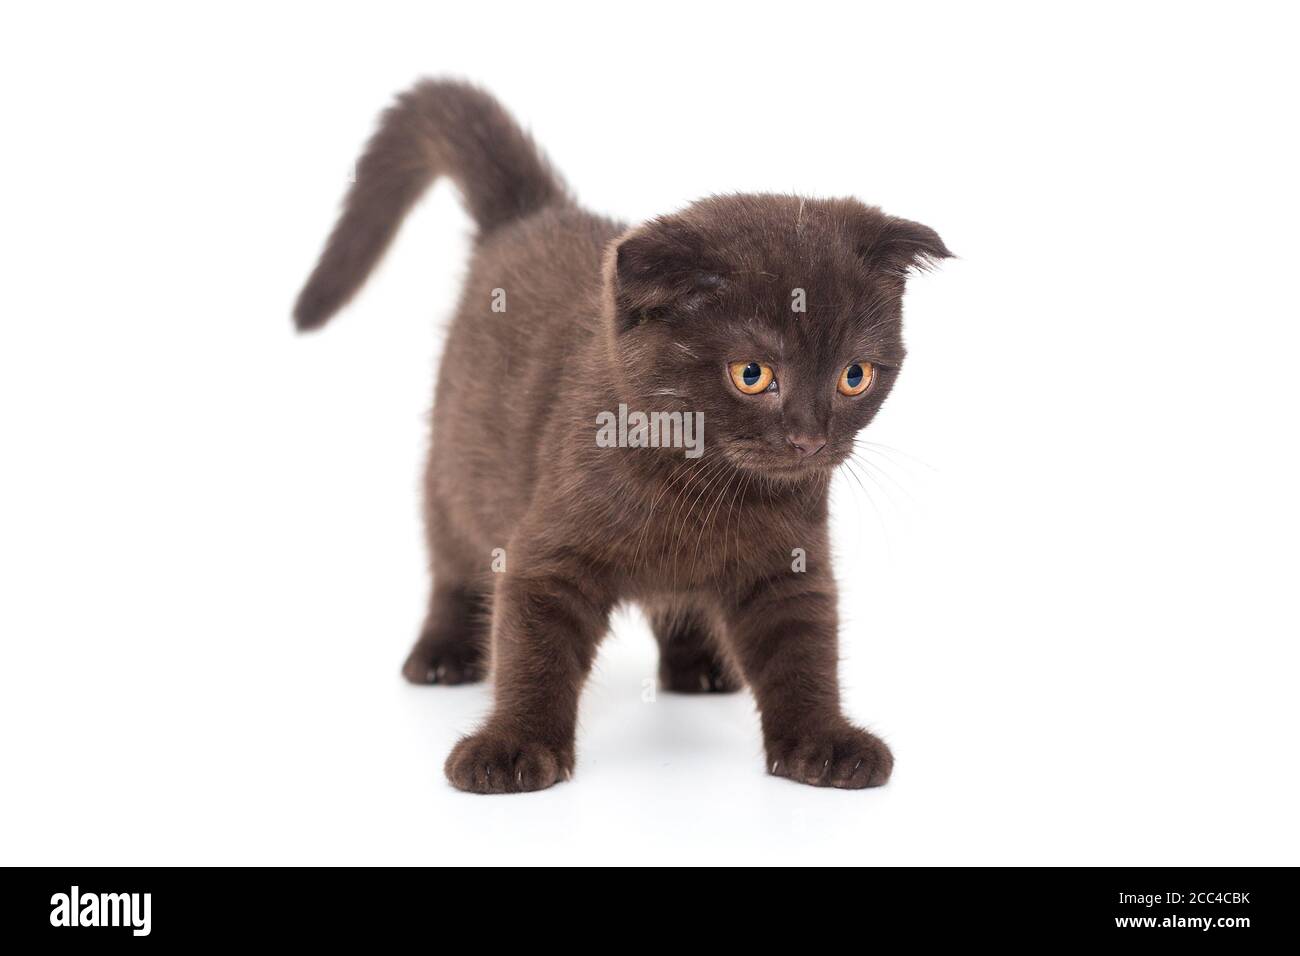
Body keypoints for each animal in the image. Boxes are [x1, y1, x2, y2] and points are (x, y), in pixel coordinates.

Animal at [295, 78, 951, 790]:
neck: (700, 483)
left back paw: (699, 666)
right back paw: (442, 652)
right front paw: (512, 747)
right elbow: (532, 650)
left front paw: (823, 742)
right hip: (455, 460)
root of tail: (531, 214)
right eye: (752, 373)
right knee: (450, 555)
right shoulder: (550, 550)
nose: (809, 439)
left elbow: (803, 649)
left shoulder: (790, 561)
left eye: (854, 375)